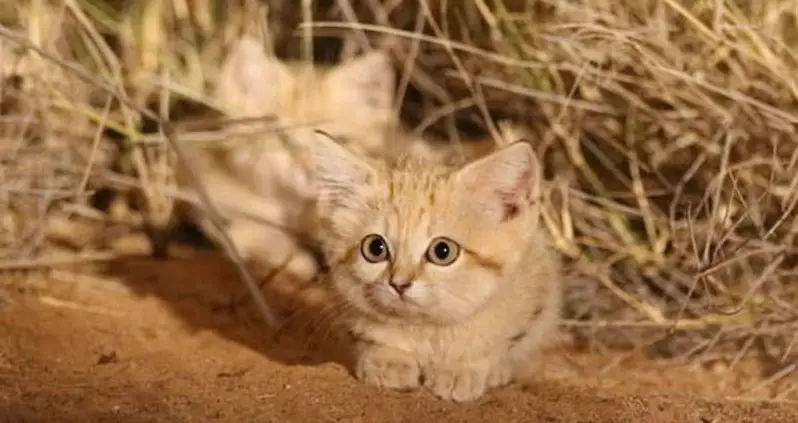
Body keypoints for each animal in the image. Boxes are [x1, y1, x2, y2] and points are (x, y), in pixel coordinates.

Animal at [310, 132, 564, 400]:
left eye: (443, 251)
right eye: (375, 248)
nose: (399, 284)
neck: (426, 329)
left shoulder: (535, 297)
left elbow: (496, 344)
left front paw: (461, 369)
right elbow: (374, 338)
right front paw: (389, 360)